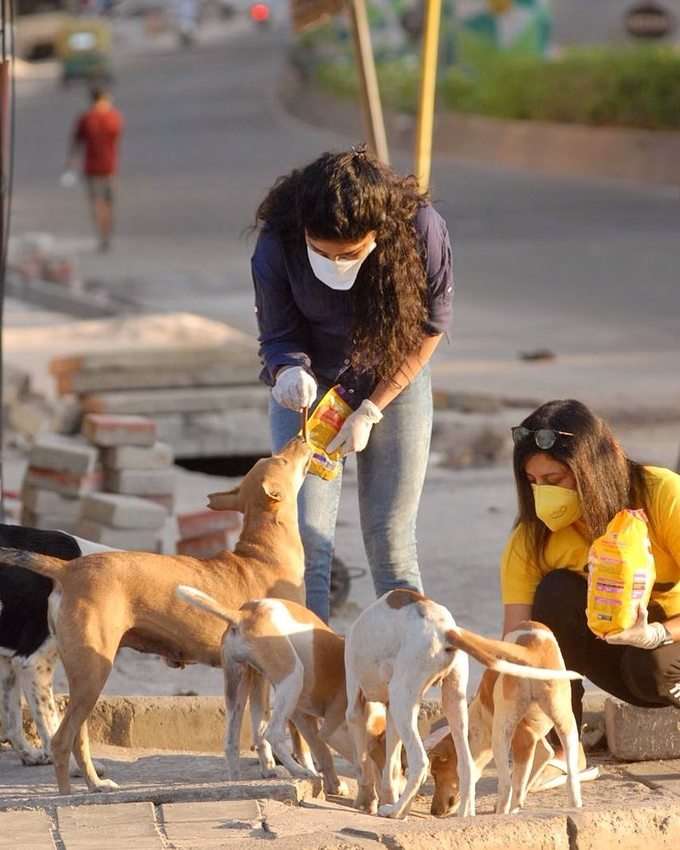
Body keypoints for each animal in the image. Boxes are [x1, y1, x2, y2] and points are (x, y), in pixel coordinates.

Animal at [0, 438, 312, 796]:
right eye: (282, 459)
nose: (301, 439)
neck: (262, 555)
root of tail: (67, 568)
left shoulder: (255, 673)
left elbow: (259, 727)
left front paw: (268, 769)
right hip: (89, 673)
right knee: (62, 740)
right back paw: (69, 796)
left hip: (82, 677)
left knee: (75, 737)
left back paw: (95, 784)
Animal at [175, 584, 388, 796]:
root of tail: (243, 614)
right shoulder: (331, 726)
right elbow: (334, 753)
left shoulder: (301, 716)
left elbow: (314, 749)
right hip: (290, 678)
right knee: (272, 733)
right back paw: (299, 771)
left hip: (242, 687)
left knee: (234, 743)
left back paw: (239, 782)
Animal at [428, 624, 580, 816]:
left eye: (435, 774)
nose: (433, 811)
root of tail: (530, 650)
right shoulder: (533, 744)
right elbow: (533, 769)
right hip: (566, 725)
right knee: (572, 780)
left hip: (501, 735)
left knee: (506, 786)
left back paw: (502, 811)